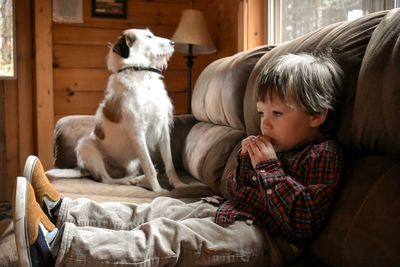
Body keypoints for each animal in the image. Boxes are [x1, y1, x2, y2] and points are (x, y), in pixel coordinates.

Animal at [48, 28, 184, 193]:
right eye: (148, 37)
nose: (173, 43)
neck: (141, 74)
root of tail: (84, 169)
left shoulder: (163, 129)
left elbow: (170, 164)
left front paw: (180, 185)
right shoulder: (137, 133)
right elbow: (149, 166)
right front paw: (158, 191)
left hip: (132, 162)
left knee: (128, 173)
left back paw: (137, 178)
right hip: (86, 145)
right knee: (107, 180)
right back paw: (126, 181)